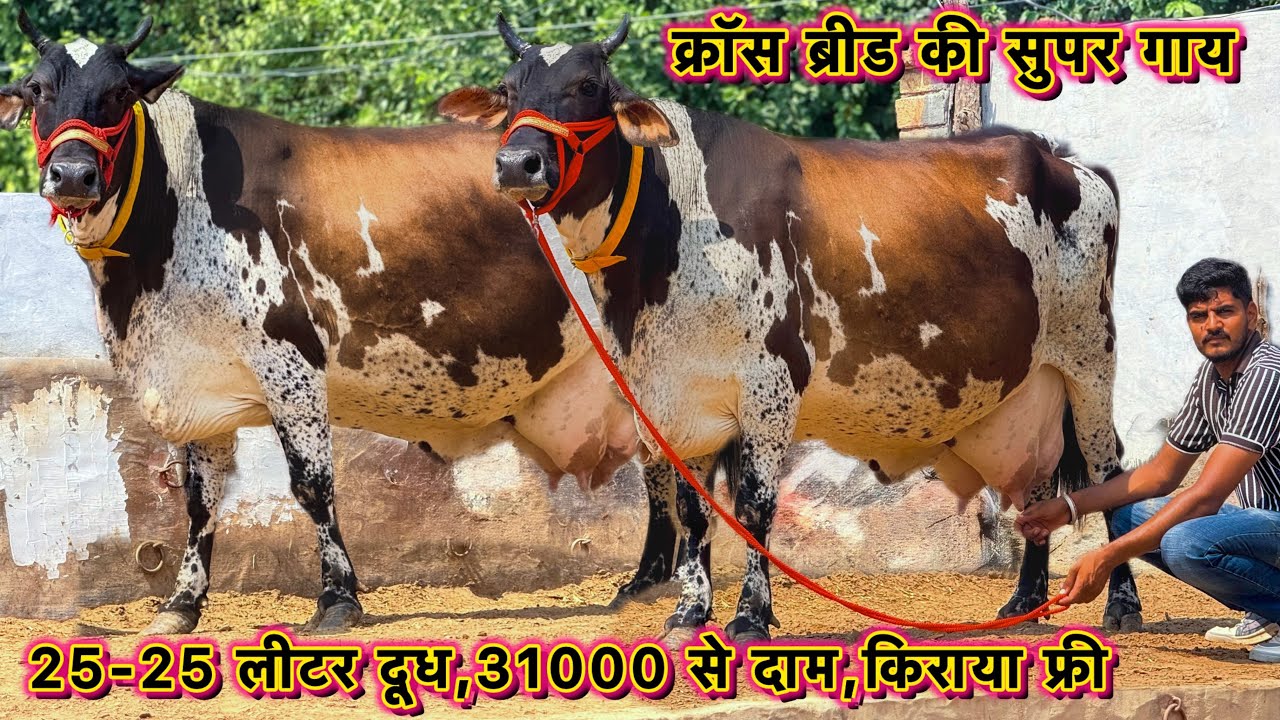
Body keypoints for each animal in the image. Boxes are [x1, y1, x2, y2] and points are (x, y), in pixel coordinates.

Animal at [0, 11, 691, 635]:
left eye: (119, 92)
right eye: (36, 89)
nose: (71, 174)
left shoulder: (291, 364)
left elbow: (312, 486)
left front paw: (337, 599)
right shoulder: (193, 382)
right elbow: (198, 500)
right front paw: (181, 605)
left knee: (671, 459)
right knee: (658, 462)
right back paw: (645, 583)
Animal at [438, 15, 1145, 641]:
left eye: (587, 86)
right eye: (509, 87)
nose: (517, 164)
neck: (671, 229)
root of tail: (1065, 159)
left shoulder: (769, 389)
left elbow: (753, 506)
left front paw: (751, 615)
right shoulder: (672, 403)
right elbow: (693, 509)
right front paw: (690, 612)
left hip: (1089, 360)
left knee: (1108, 470)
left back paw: (1122, 604)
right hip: (1029, 387)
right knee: (1038, 482)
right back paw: (1025, 600)